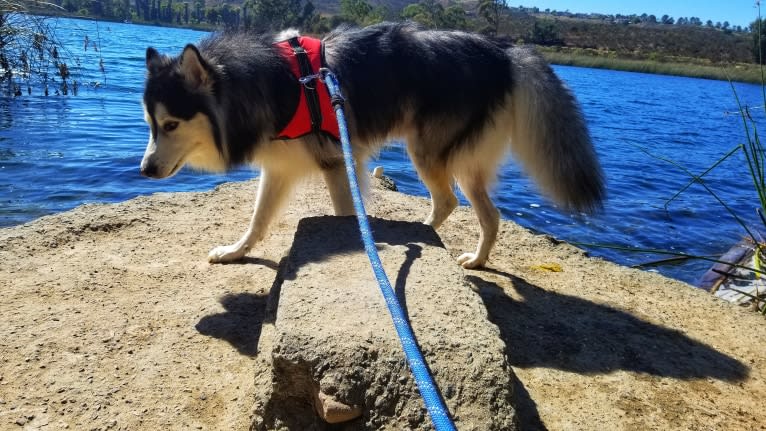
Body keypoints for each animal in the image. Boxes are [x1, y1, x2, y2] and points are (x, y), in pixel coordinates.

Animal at [140, 22, 608, 270]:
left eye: (171, 124)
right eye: (150, 124)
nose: (144, 170)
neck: (278, 83)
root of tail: (506, 51)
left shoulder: (337, 163)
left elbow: (346, 215)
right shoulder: (279, 169)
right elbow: (257, 221)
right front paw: (236, 252)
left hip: (431, 152)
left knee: (473, 210)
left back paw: (470, 259)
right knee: (453, 205)